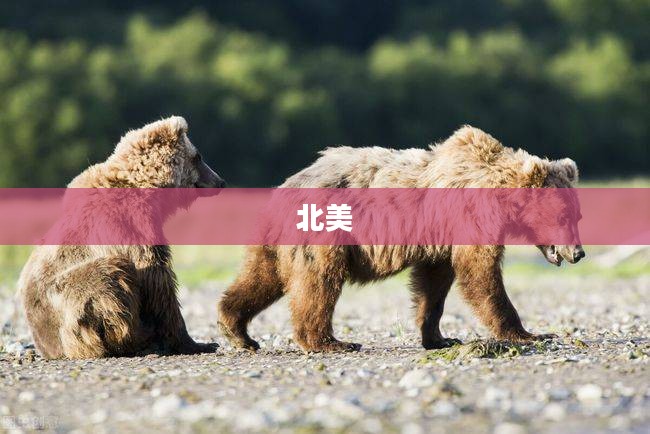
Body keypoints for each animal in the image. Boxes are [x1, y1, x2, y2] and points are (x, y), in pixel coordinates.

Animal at [18, 116, 225, 359]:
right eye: (198, 156)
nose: (220, 181)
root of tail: (47, 347)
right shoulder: (131, 225)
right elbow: (157, 281)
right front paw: (198, 343)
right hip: (68, 302)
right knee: (109, 277)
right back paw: (138, 340)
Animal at [218, 126, 585, 352]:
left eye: (576, 216)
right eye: (563, 217)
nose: (578, 252)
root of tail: (288, 184)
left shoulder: (439, 239)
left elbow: (433, 285)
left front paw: (439, 337)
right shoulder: (469, 220)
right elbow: (481, 276)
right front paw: (529, 333)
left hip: (277, 240)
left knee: (261, 277)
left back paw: (237, 330)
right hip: (323, 233)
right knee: (319, 282)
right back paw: (330, 341)